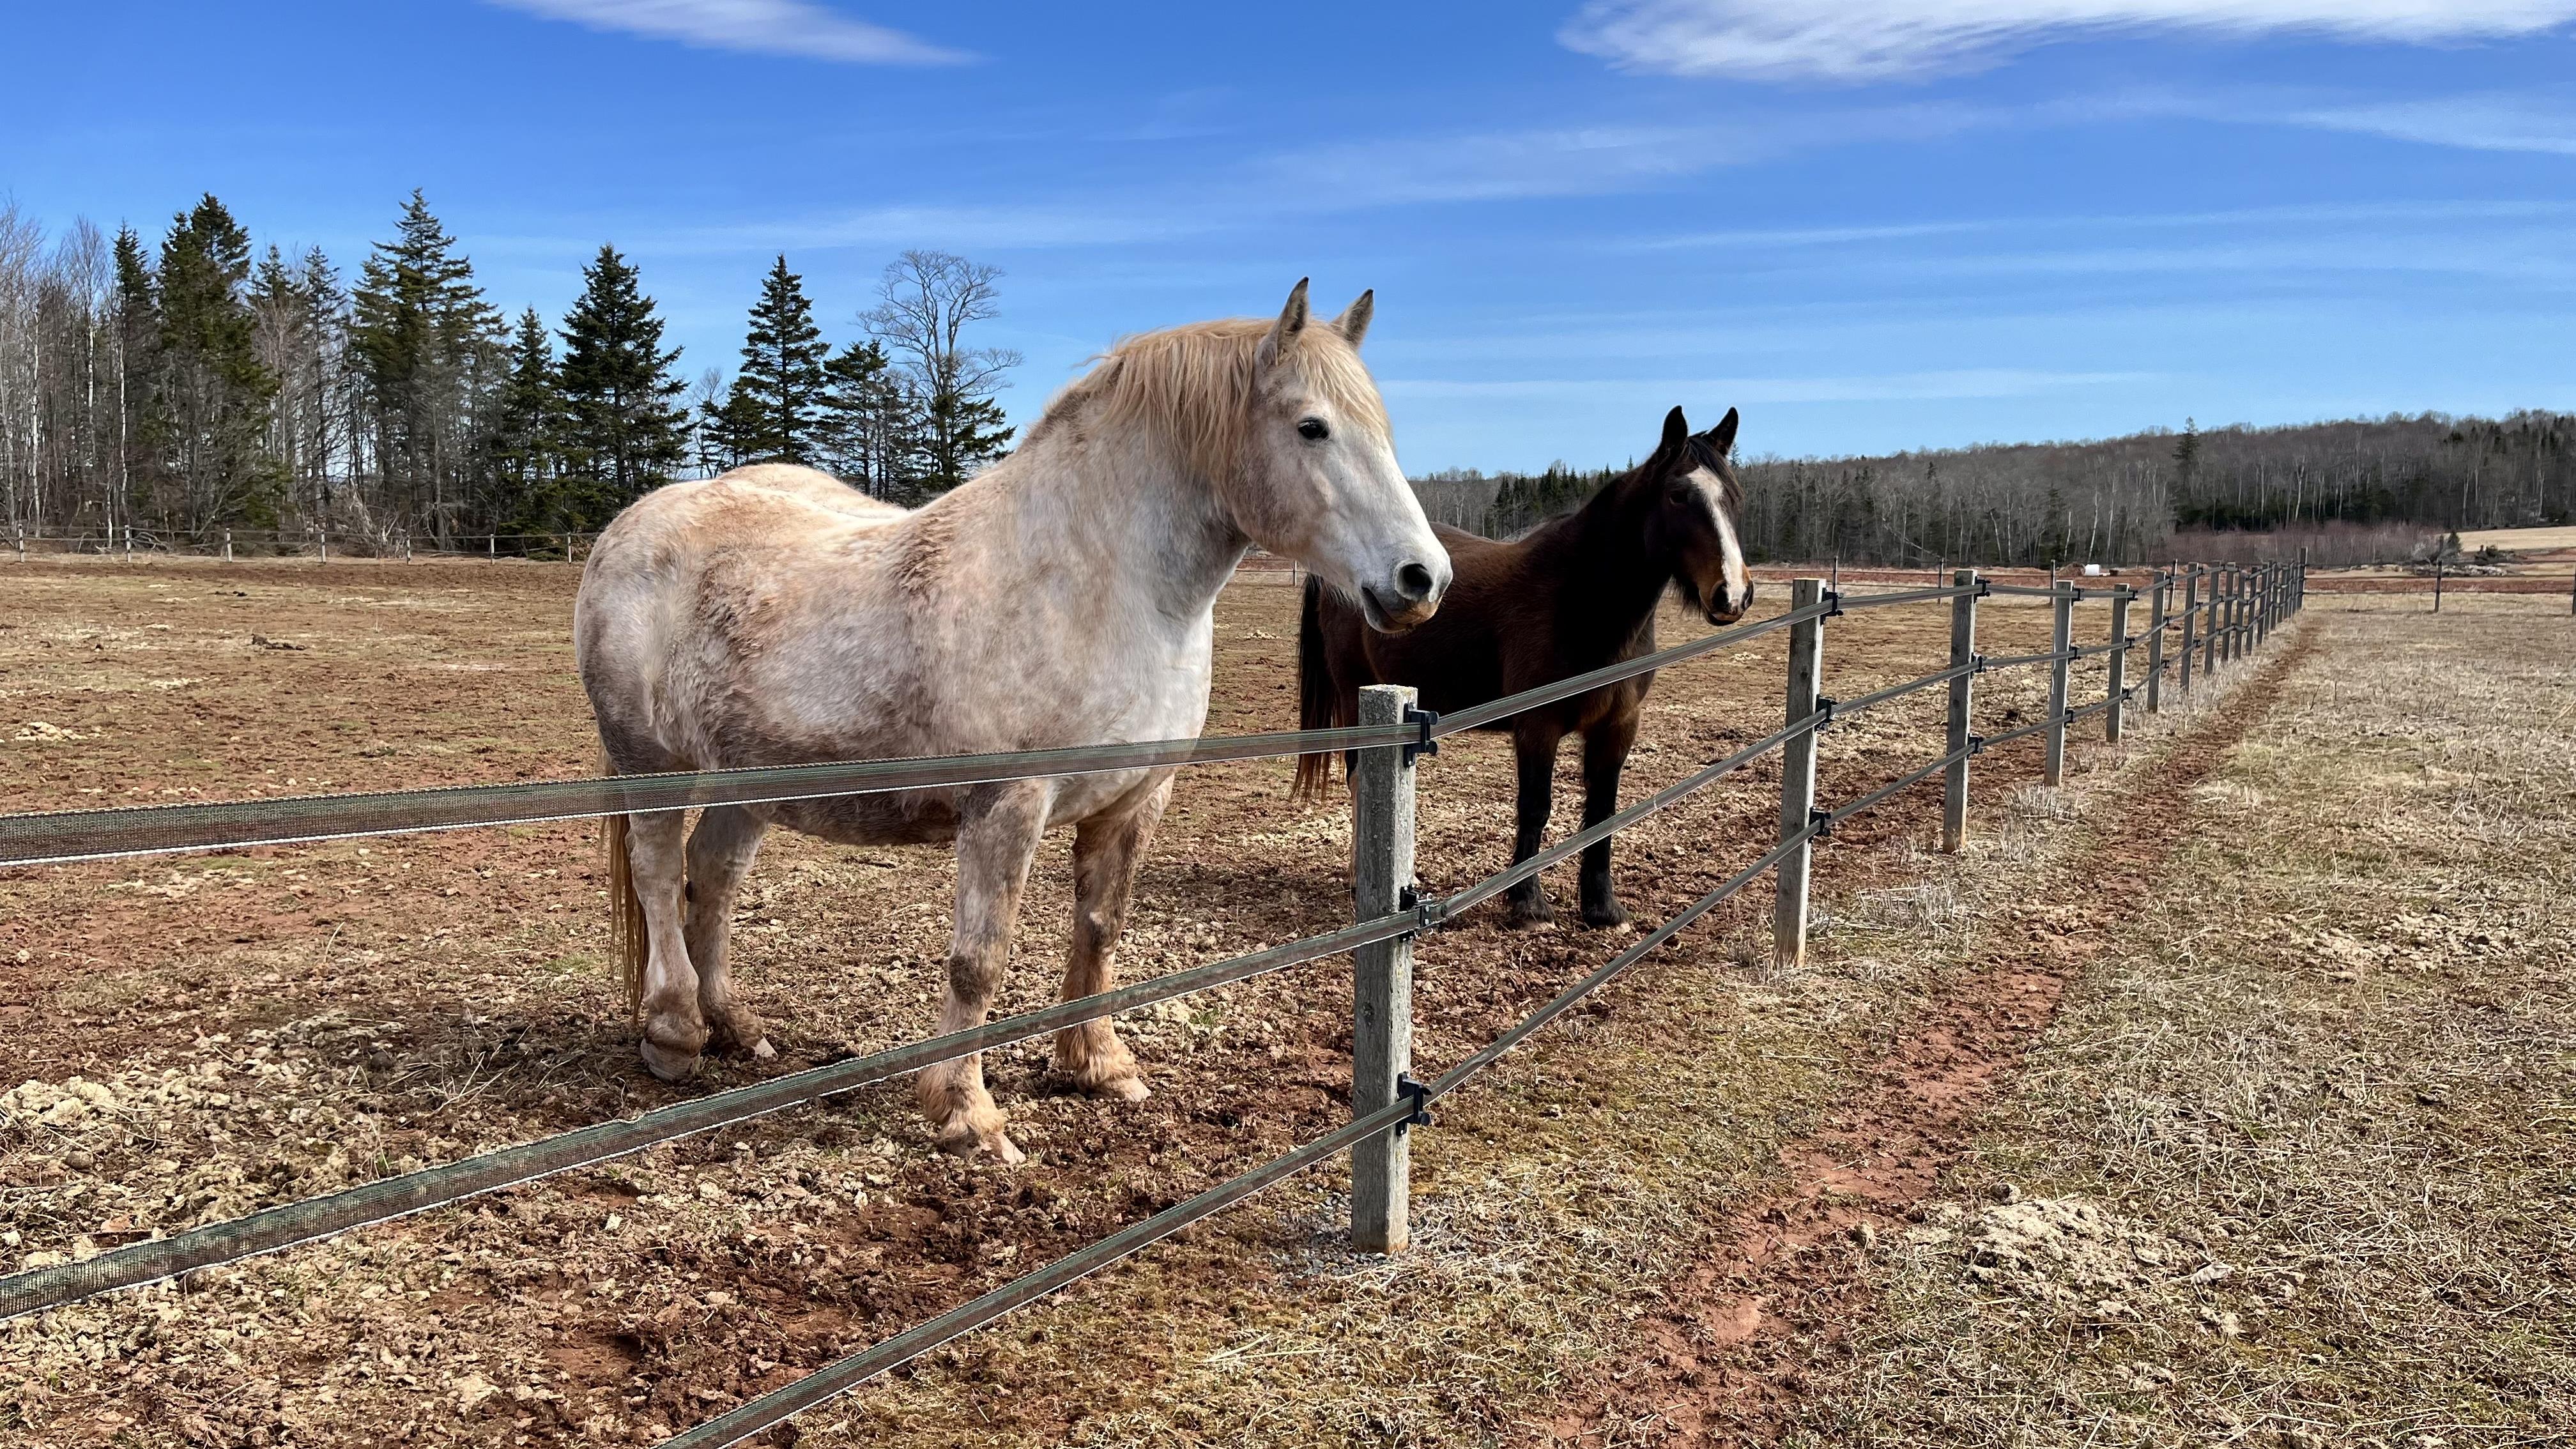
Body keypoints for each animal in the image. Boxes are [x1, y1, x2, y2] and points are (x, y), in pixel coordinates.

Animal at [577, 282, 1453, 1154]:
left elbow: (1100, 929)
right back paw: (674, 1033)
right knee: (660, 875)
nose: (1422, 579)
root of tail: (633, 524)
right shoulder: (1008, 804)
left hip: (753, 780)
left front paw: (1098, 1067)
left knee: (715, 876)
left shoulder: (1134, 801)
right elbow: (980, 960)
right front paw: (967, 1113)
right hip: (651, 763)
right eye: (1311, 427)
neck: (1093, 583)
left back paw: (736, 1027)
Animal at [1298, 407, 1761, 923]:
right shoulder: (1539, 725)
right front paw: (1527, 902)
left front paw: (1601, 906)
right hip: (1355, 695)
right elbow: (1536, 805)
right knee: (1358, 776)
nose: (1732, 594)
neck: (1581, 602)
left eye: (1735, 497)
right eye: (1678, 495)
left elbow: (1602, 810)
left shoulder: (1619, 724)